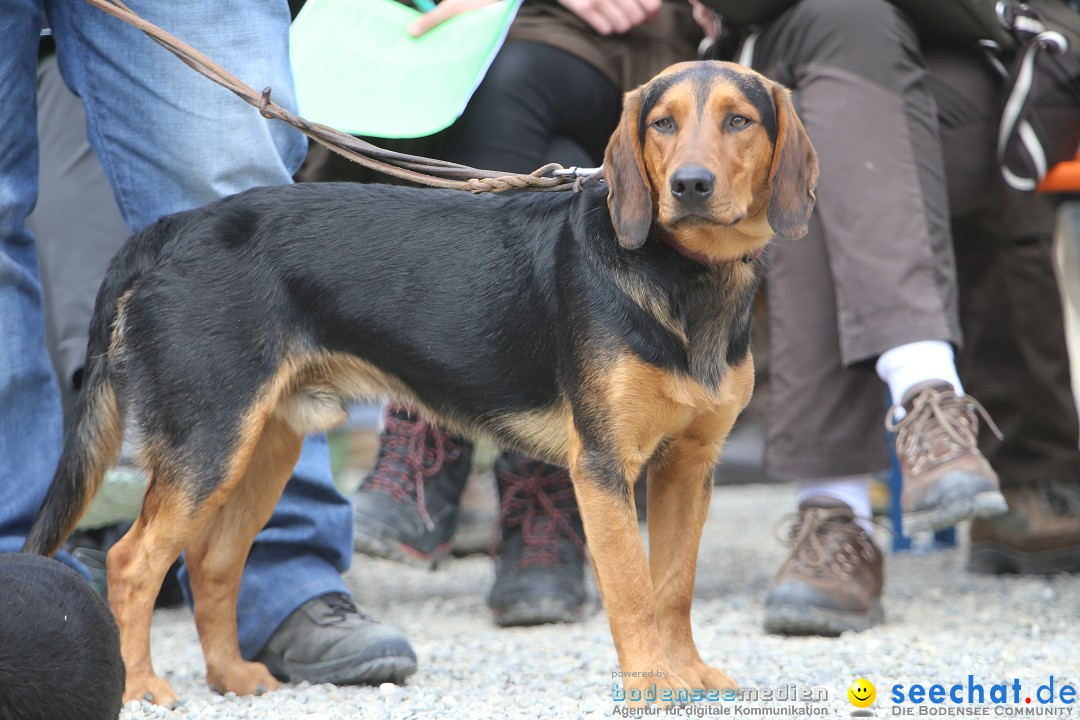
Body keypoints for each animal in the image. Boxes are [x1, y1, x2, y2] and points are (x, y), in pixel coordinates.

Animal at [21, 60, 812, 703]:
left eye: (739, 121)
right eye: (661, 124)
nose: (690, 186)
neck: (686, 281)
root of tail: (168, 231)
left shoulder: (689, 467)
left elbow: (674, 588)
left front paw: (689, 674)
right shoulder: (603, 466)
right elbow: (634, 592)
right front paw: (653, 684)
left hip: (263, 443)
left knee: (212, 564)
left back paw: (234, 677)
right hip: (207, 440)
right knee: (130, 563)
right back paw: (140, 685)